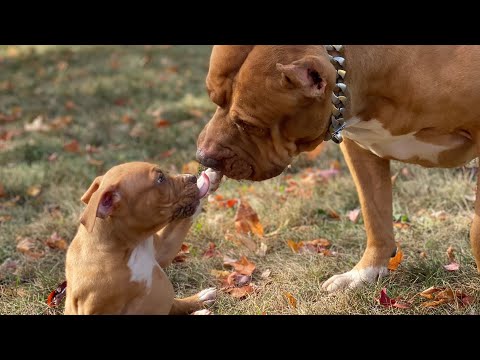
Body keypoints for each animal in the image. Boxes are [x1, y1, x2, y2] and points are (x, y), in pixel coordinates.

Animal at [63, 162, 216, 314]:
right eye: (160, 179)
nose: (192, 178)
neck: (129, 247)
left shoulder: (163, 249)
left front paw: (210, 177)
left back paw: (200, 300)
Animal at [196, 45, 480, 292]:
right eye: (212, 98)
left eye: (249, 125)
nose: (203, 157)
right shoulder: (358, 148)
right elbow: (374, 214)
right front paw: (364, 272)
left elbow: (476, 229)